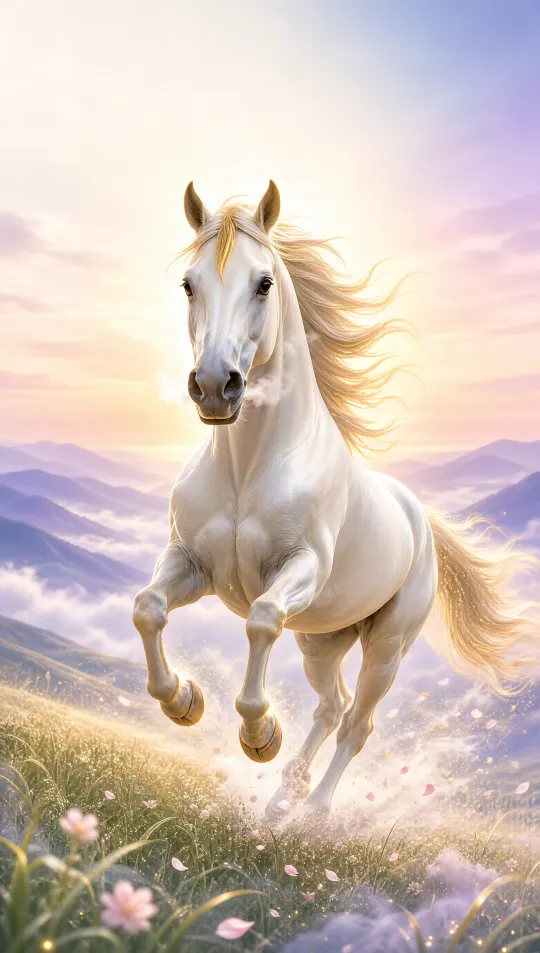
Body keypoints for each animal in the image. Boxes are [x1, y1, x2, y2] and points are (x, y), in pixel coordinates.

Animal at [133, 180, 535, 814]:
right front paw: (183, 701)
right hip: (322, 641)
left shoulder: (300, 570)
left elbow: (261, 621)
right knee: (332, 705)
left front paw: (258, 734)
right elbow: (146, 607)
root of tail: (421, 519)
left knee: (357, 722)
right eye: (188, 284)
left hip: (387, 647)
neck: (247, 470)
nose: (216, 387)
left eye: (264, 283)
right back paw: (282, 800)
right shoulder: (192, 563)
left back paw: (315, 812)